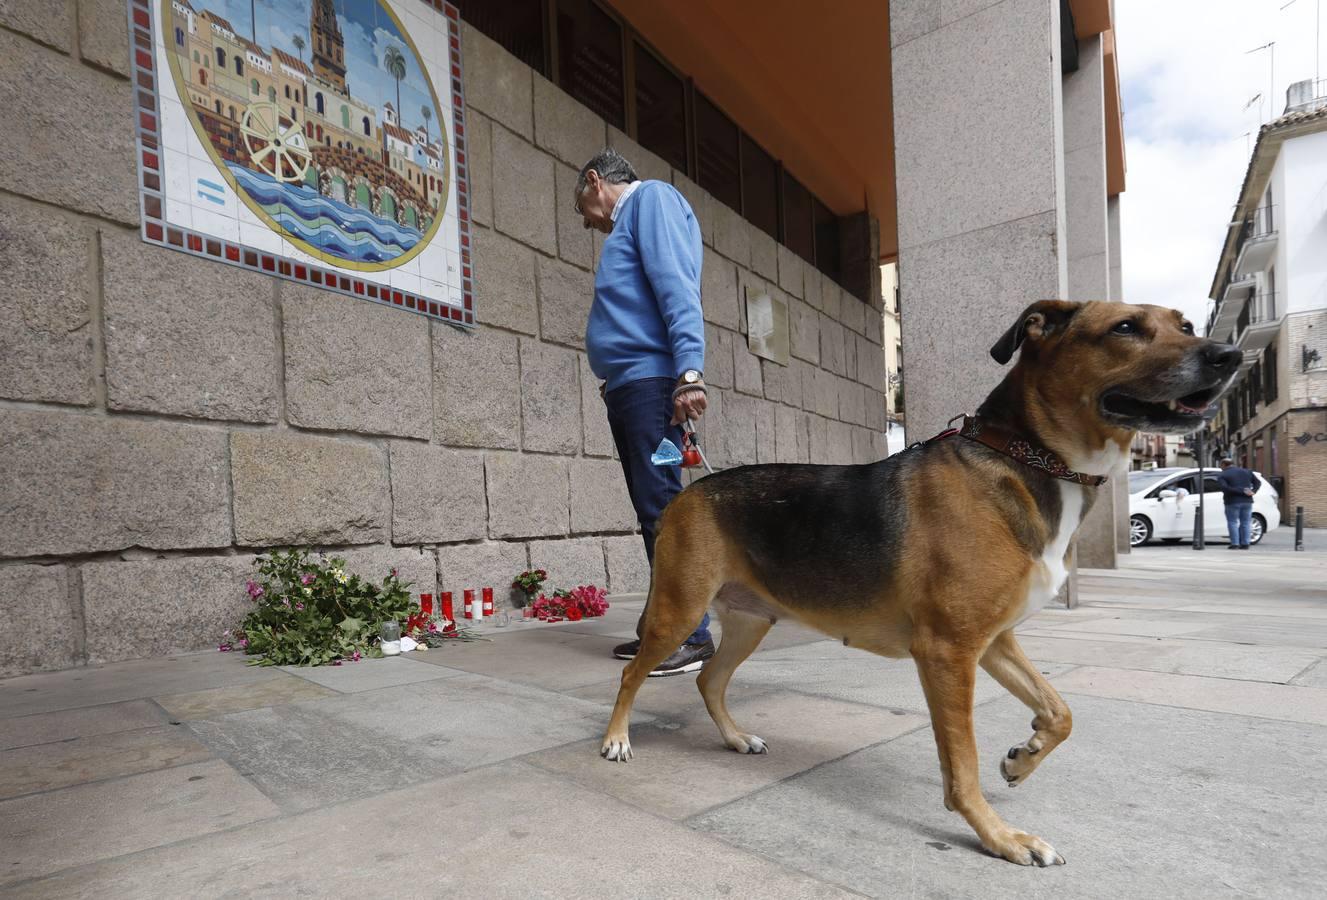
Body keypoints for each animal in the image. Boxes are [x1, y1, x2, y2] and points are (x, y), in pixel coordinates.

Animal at [602, 301, 1242, 865]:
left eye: (1185, 325)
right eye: (1126, 328)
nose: (1228, 356)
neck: (1026, 460)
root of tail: (691, 489)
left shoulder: (994, 641)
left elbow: (1060, 712)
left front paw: (1024, 756)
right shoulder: (948, 651)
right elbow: (963, 765)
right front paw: (1000, 838)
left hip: (750, 621)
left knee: (709, 679)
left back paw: (736, 738)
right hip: (680, 609)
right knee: (637, 674)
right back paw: (616, 739)